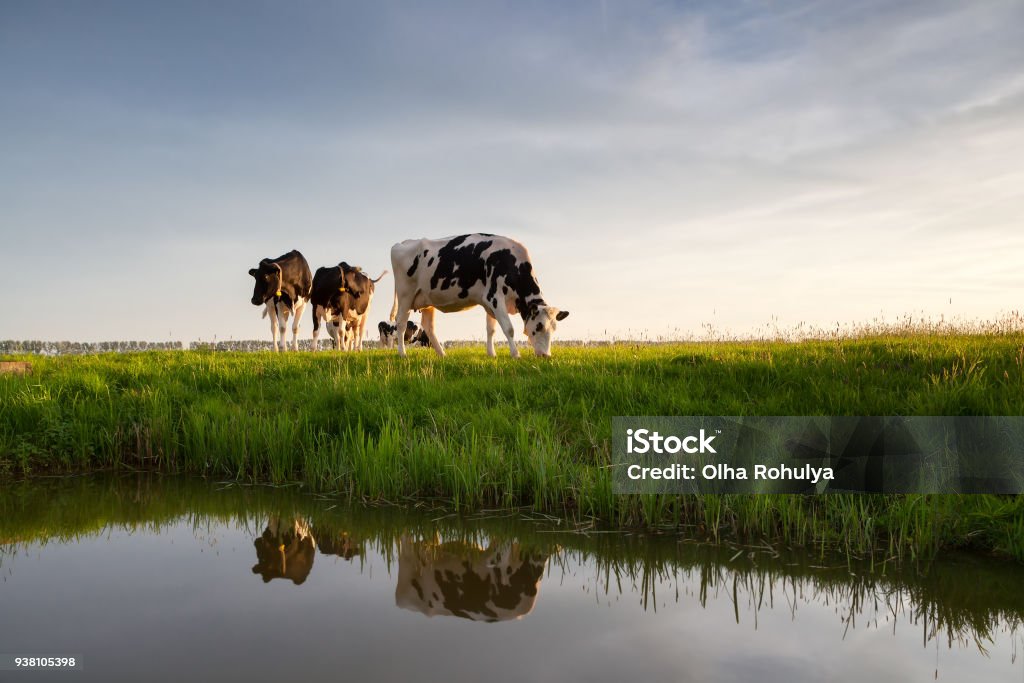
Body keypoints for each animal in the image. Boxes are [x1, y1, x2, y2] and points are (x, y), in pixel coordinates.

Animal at [389, 233, 573, 358]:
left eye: (554, 328)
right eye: (539, 326)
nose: (546, 356)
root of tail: (402, 243)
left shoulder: (489, 302)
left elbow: (491, 329)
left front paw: (492, 354)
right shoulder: (495, 297)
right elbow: (508, 328)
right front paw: (516, 354)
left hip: (427, 299)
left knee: (428, 326)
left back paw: (442, 354)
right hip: (405, 295)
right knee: (401, 323)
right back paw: (403, 354)